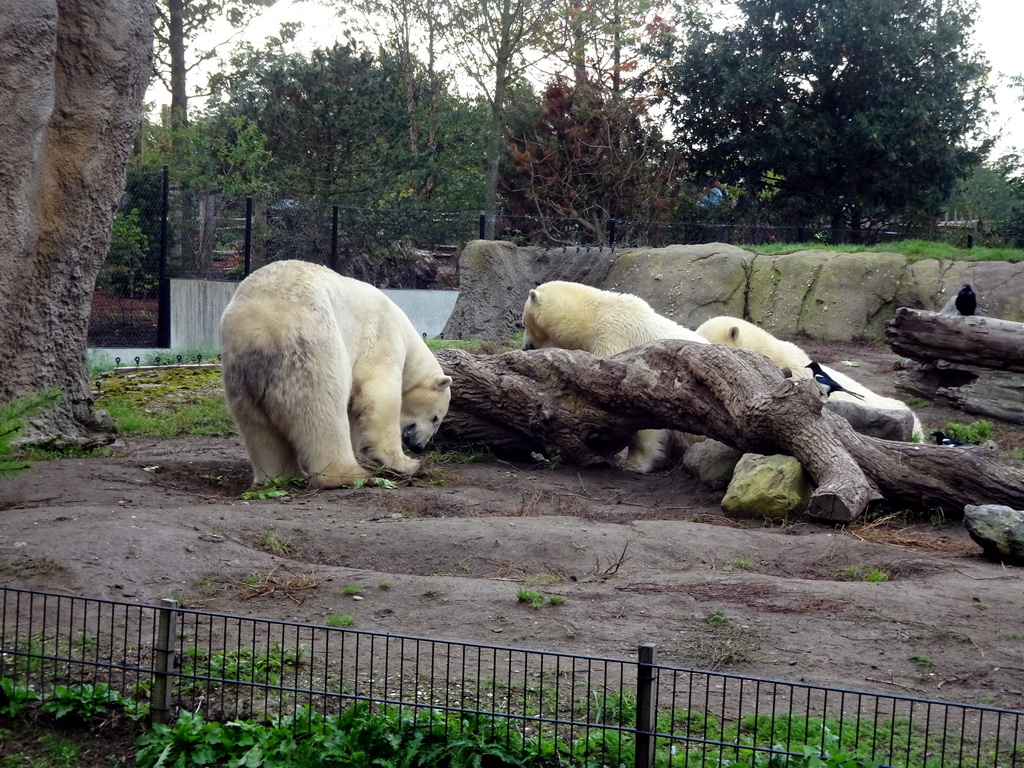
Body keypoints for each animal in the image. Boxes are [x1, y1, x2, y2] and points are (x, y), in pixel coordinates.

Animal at [224, 259, 452, 487]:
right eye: (436, 418)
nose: (418, 446)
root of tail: (259, 330)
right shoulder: (382, 336)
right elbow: (379, 394)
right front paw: (406, 463)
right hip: (310, 342)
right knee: (322, 409)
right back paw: (348, 474)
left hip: (239, 372)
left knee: (257, 428)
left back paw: (281, 476)